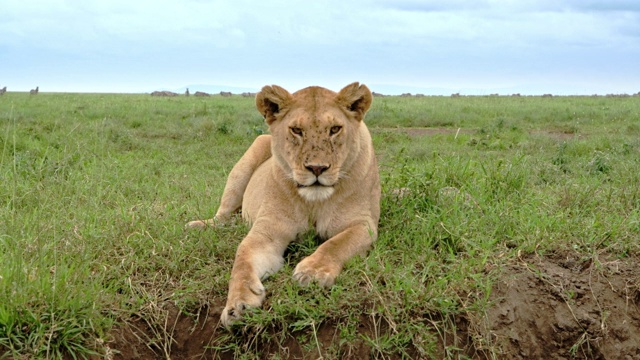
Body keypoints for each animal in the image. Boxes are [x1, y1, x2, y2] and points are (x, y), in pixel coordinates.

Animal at [189, 82, 380, 326]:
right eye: (296, 130)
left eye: (335, 129)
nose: (317, 168)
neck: (313, 202)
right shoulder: (266, 232)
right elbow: (242, 259)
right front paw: (237, 305)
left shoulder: (363, 224)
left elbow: (336, 244)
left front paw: (312, 272)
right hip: (247, 161)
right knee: (222, 215)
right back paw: (199, 225)